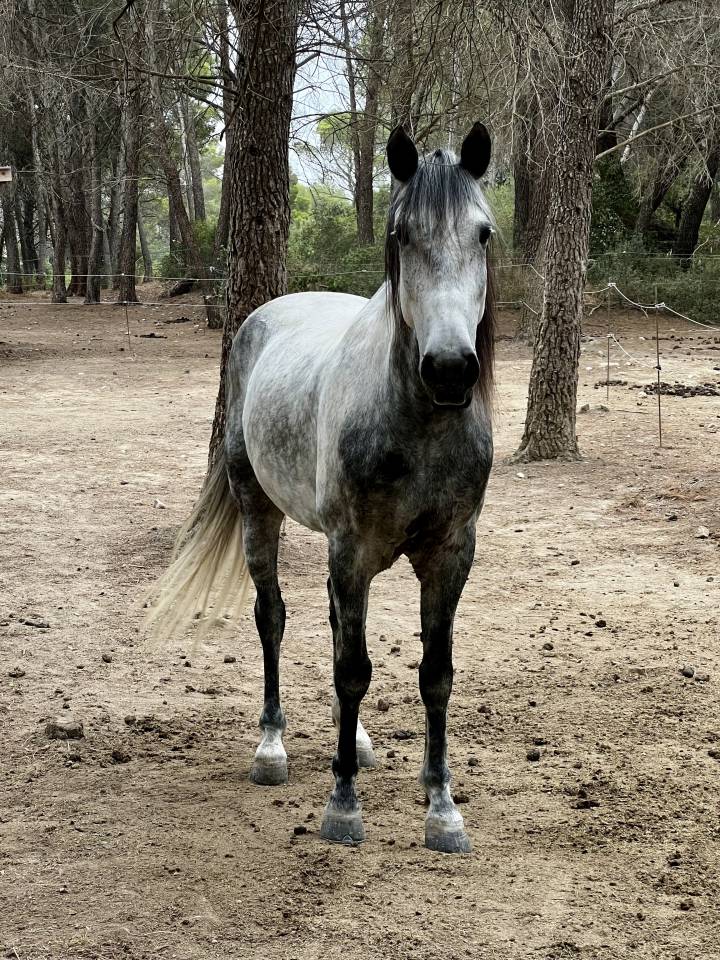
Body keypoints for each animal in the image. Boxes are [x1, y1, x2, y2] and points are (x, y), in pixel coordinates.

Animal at [148, 122, 496, 854]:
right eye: (402, 236)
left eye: (482, 233)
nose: (451, 369)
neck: (417, 423)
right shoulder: (353, 548)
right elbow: (353, 668)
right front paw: (342, 807)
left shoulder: (451, 554)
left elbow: (435, 674)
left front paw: (441, 808)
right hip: (261, 513)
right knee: (273, 619)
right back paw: (272, 747)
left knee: (338, 628)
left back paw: (354, 740)